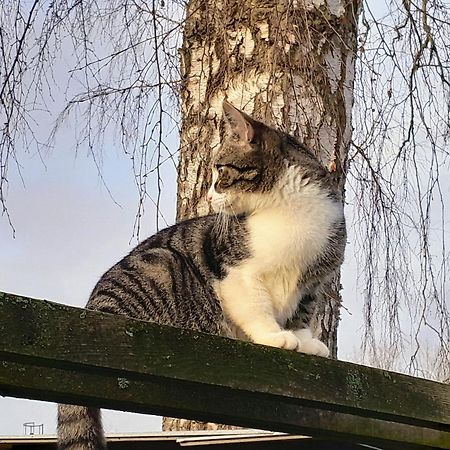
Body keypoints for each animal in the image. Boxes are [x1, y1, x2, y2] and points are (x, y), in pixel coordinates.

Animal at [55, 102, 344, 450]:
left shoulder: (313, 280)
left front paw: (307, 342)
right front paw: (275, 336)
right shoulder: (236, 272)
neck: (286, 207)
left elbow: (302, 312)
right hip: (161, 262)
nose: (207, 197)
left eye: (220, 169)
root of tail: (91, 308)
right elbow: (256, 306)